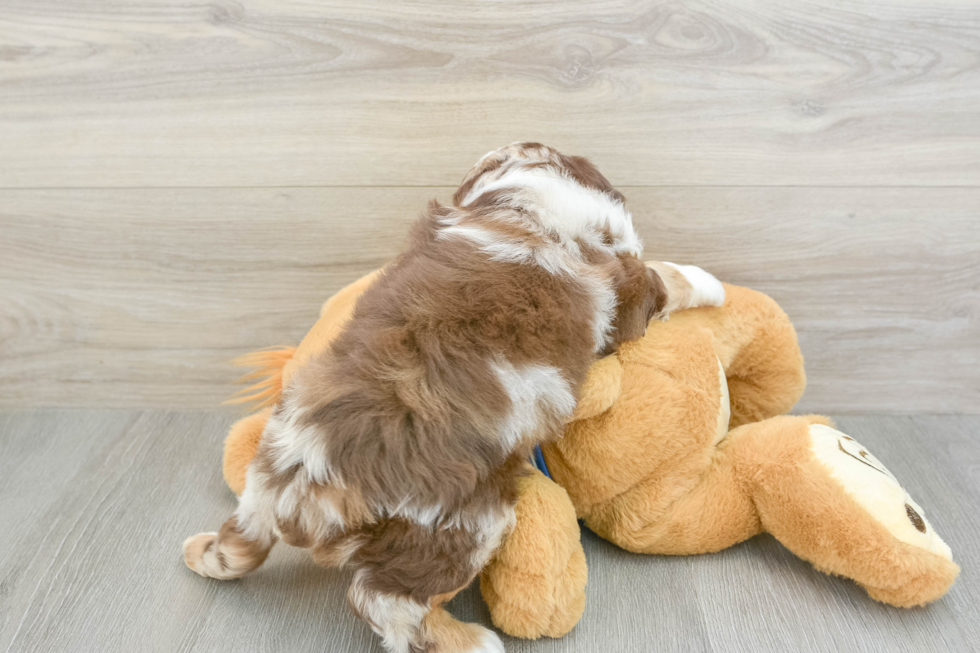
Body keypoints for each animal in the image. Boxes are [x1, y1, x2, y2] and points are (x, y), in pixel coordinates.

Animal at [184, 144, 724, 652]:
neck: (522, 209)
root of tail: (299, 484)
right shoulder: (626, 289)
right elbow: (668, 277)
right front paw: (710, 284)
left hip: (264, 487)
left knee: (239, 543)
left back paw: (199, 551)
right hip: (459, 527)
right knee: (382, 601)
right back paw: (470, 641)